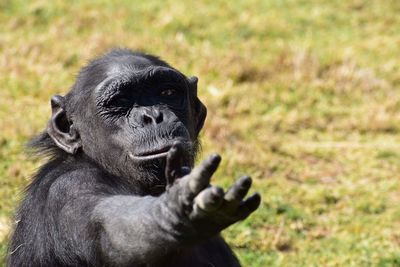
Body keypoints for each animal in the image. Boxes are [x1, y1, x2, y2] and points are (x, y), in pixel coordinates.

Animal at [8, 48, 262, 267]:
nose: (152, 116)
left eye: (167, 92)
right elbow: (114, 229)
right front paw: (176, 212)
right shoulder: (70, 190)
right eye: (120, 102)